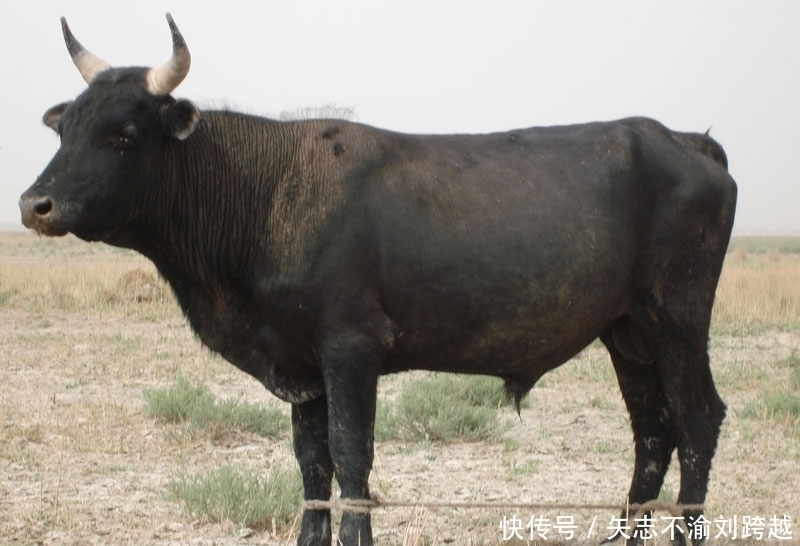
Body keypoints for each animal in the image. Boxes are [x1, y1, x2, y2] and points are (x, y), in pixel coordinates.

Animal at [18, 12, 736, 544]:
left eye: (123, 133)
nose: (34, 204)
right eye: (66, 127)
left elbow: (352, 459)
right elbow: (313, 466)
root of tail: (678, 138)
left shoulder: (350, 349)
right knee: (653, 431)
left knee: (697, 420)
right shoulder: (299, 365)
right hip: (628, 331)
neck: (264, 192)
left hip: (677, 318)